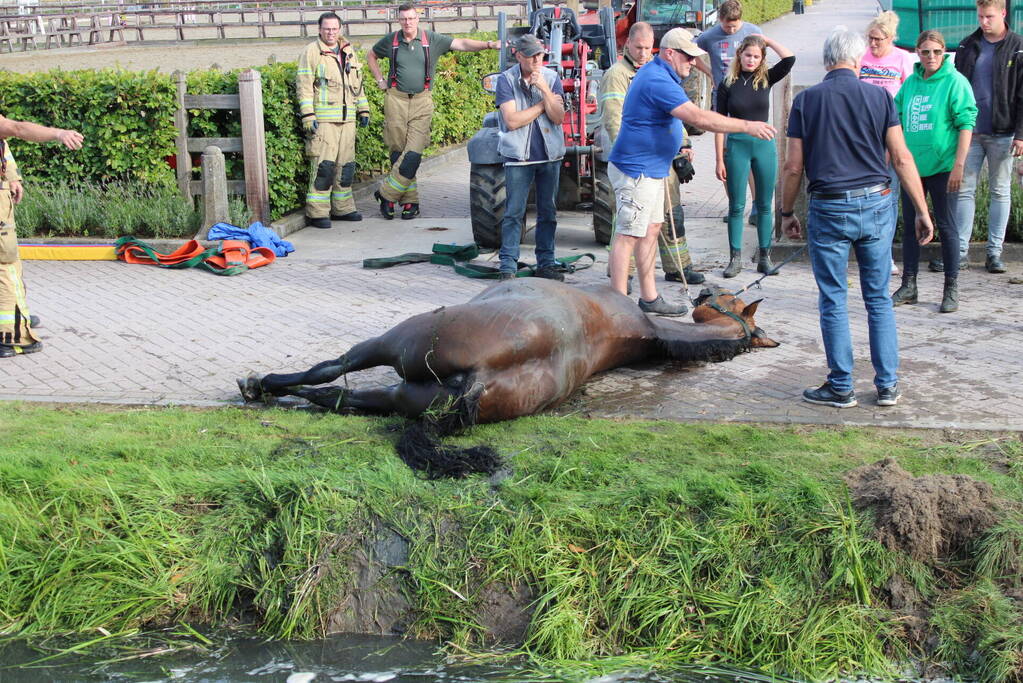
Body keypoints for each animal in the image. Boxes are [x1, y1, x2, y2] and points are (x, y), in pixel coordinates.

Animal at [238, 280, 778, 425]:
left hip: (397, 345)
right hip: (411, 397)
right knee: (341, 398)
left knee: (333, 371)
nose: (706, 289)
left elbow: (330, 366)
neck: (642, 328)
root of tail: (483, 376)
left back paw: (261, 386)